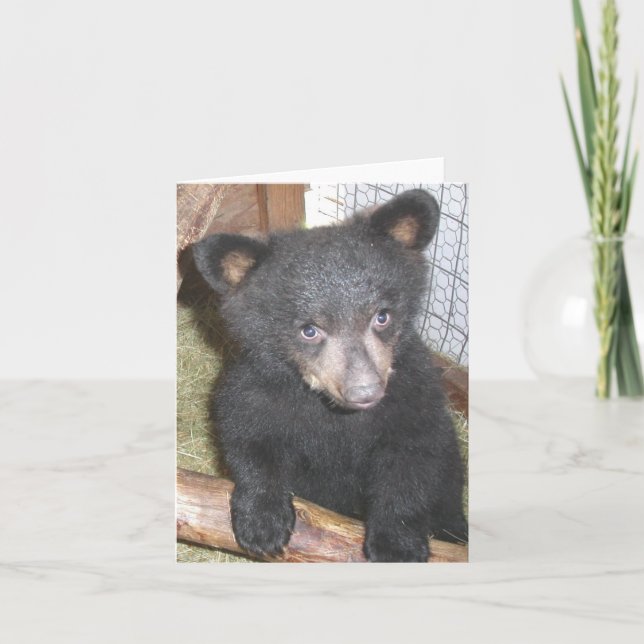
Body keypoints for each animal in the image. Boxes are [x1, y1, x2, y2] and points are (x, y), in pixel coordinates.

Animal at [192, 188, 467, 562]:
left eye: (382, 316)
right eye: (309, 330)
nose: (364, 392)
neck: (333, 413)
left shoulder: (413, 392)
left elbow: (413, 459)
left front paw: (397, 545)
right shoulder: (257, 390)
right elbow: (249, 441)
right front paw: (262, 523)